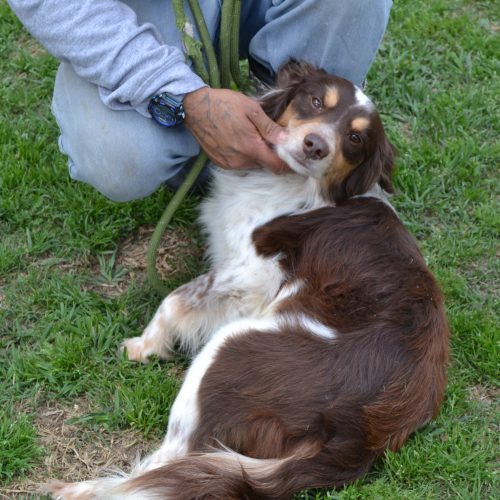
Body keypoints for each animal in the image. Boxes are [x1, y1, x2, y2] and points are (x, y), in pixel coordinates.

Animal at [48, 60, 449, 499]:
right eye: (315, 102)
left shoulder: (252, 272)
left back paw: (86, 489)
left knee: (174, 460)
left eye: (355, 138)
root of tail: (359, 437)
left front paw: (144, 344)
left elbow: (174, 300)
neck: (296, 185)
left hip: (228, 351)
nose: (315, 145)